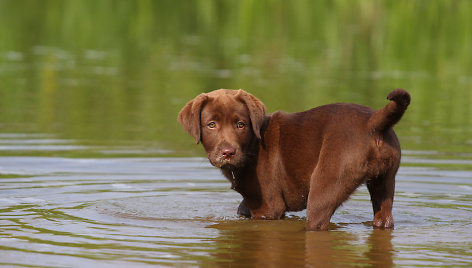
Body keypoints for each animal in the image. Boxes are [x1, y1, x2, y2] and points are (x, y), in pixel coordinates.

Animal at [177, 88, 410, 230]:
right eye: (211, 124)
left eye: (240, 124)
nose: (228, 152)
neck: (252, 145)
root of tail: (373, 122)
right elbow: (242, 208)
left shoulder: (268, 208)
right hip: (385, 181)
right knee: (384, 218)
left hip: (326, 186)